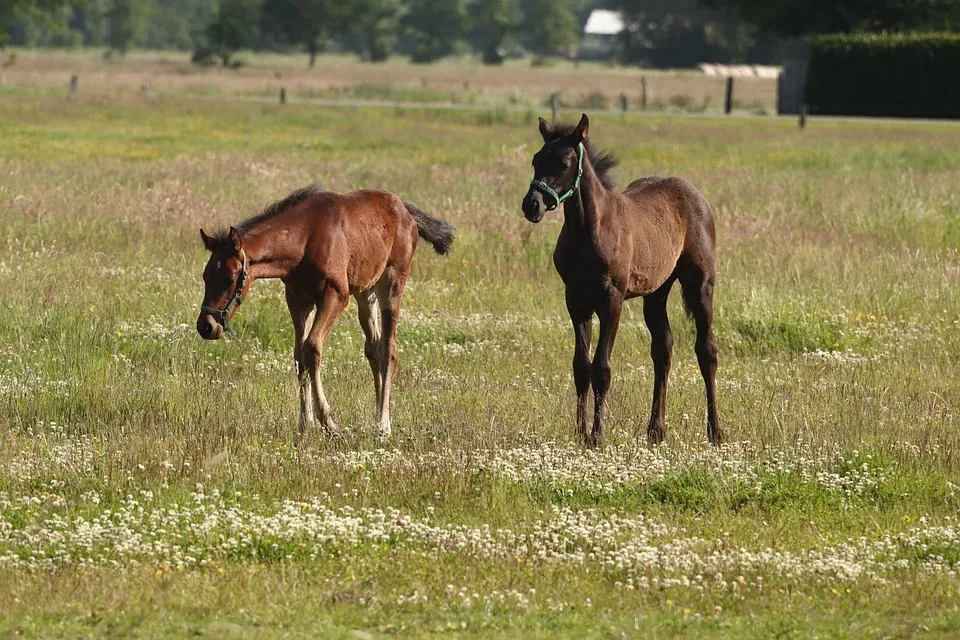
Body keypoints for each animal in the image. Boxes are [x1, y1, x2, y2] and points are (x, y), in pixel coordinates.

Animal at [197, 182, 456, 438]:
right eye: (205, 276)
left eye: (230, 278)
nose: (206, 326)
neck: (304, 239)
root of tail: (403, 209)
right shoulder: (298, 300)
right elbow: (299, 356)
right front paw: (304, 425)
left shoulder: (335, 296)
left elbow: (311, 349)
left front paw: (328, 422)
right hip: (365, 292)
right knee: (374, 347)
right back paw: (375, 419)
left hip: (392, 283)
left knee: (389, 350)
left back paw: (383, 425)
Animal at [524, 114, 720, 444]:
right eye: (536, 160)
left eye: (564, 163)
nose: (531, 205)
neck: (590, 231)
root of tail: (696, 194)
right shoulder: (576, 300)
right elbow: (581, 367)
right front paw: (581, 433)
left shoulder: (611, 300)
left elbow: (602, 368)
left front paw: (598, 436)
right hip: (656, 292)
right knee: (662, 350)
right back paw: (656, 430)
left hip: (701, 284)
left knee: (706, 351)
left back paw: (715, 431)